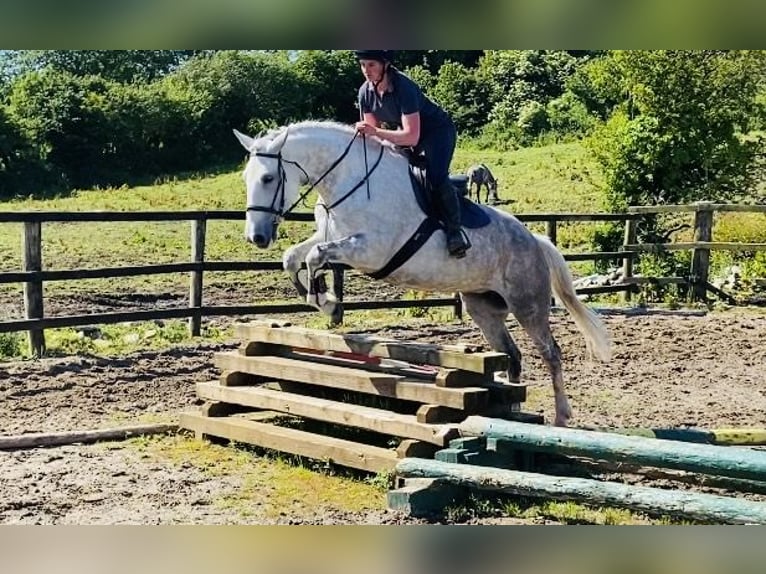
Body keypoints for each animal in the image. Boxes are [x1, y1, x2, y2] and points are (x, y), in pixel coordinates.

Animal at [234, 120, 612, 428]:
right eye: (246, 179)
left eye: (268, 178)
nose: (256, 237)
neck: (347, 182)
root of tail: (535, 240)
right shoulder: (331, 238)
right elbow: (293, 257)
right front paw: (321, 299)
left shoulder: (371, 251)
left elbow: (315, 256)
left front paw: (326, 300)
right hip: (482, 307)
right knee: (512, 354)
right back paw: (512, 408)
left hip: (527, 305)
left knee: (551, 353)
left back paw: (561, 416)